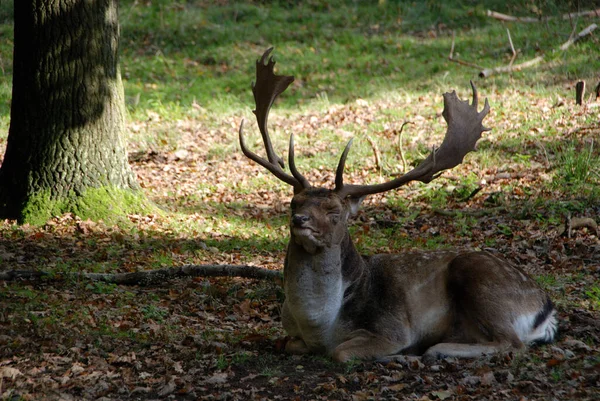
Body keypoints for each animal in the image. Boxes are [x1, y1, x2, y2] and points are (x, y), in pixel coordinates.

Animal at [237, 48, 556, 360]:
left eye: (335, 212)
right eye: (294, 203)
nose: (300, 220)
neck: (318, 327)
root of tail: (546, 307)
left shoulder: (391, 328)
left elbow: (340, 353)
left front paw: (401, 354)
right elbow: (288, 344)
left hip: (478, 276)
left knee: (512, 343)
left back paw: (435, 349)